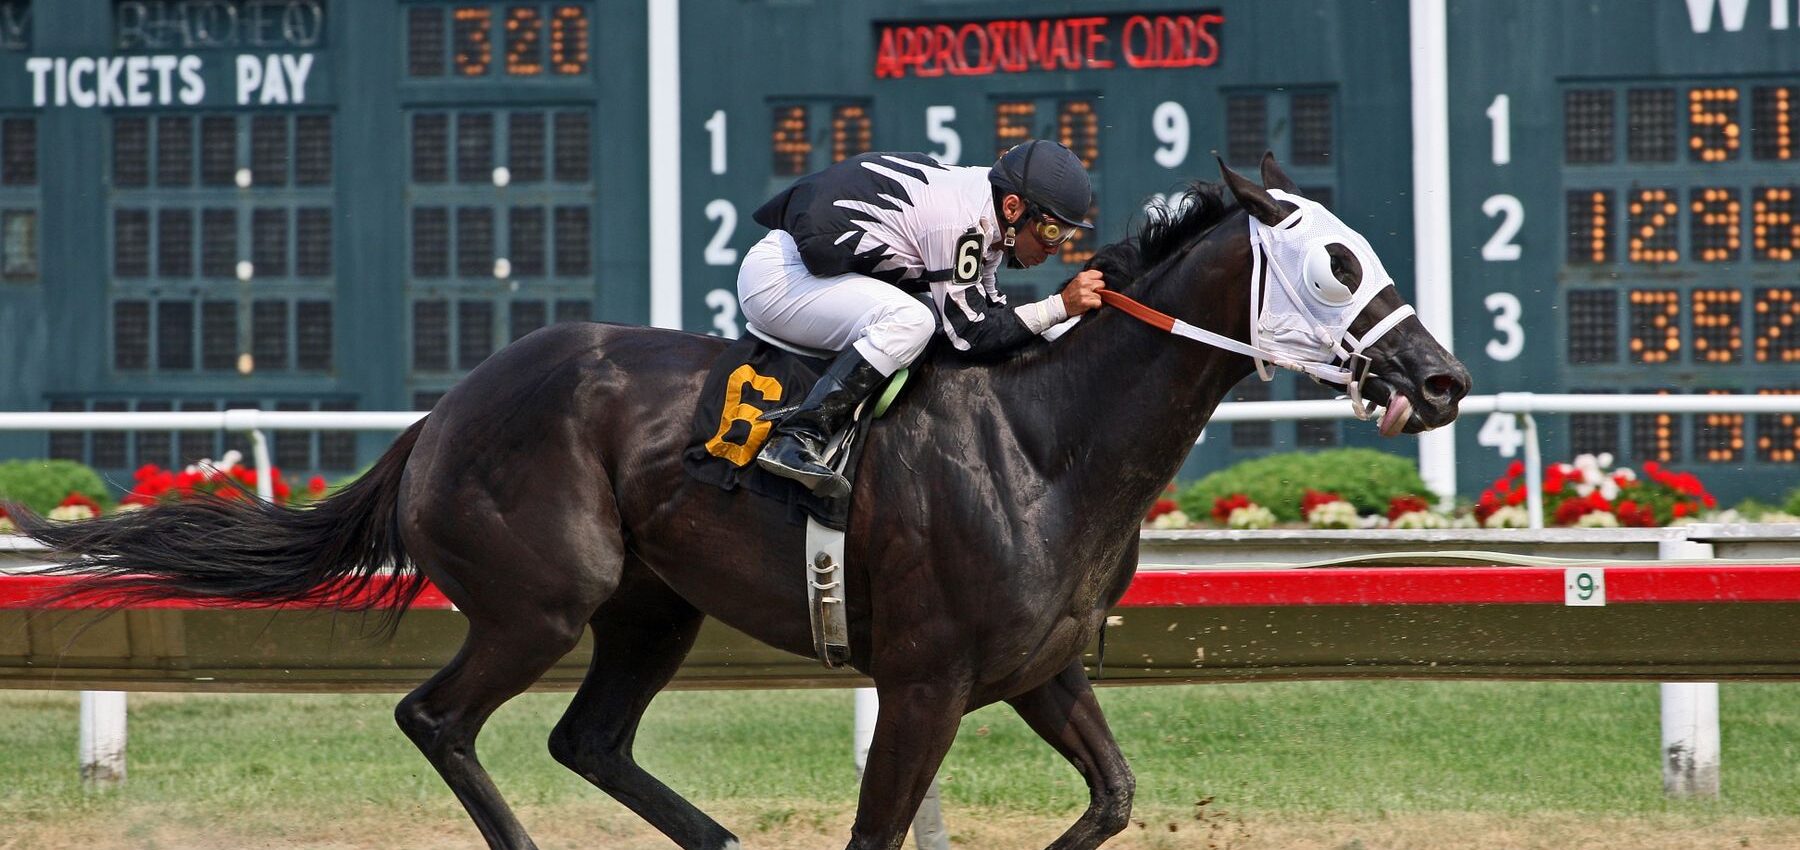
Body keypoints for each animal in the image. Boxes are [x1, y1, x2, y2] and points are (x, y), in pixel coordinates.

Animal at [16, 155, 1469, 850]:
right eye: (1340, 264)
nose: (1442, 378)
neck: (1043, 438)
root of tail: (444, 412)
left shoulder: (1040, 670)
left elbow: (1112, 800)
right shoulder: (928, 679)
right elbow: (879, 829)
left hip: (652, 609)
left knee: (590, 740)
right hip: (542, 601)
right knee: (439, 718)